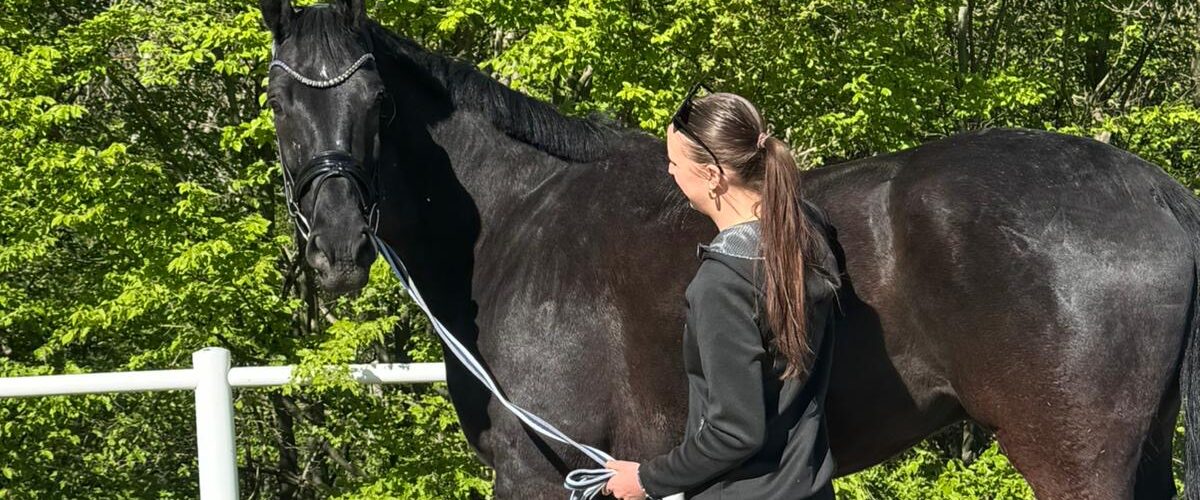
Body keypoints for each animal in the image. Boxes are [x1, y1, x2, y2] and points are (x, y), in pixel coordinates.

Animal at [259, 1, 1200, 498]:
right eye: (278, 99)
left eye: (377, 99)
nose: (337, 244)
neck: (517, 217)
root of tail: (1155, 188)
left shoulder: (539, 472)